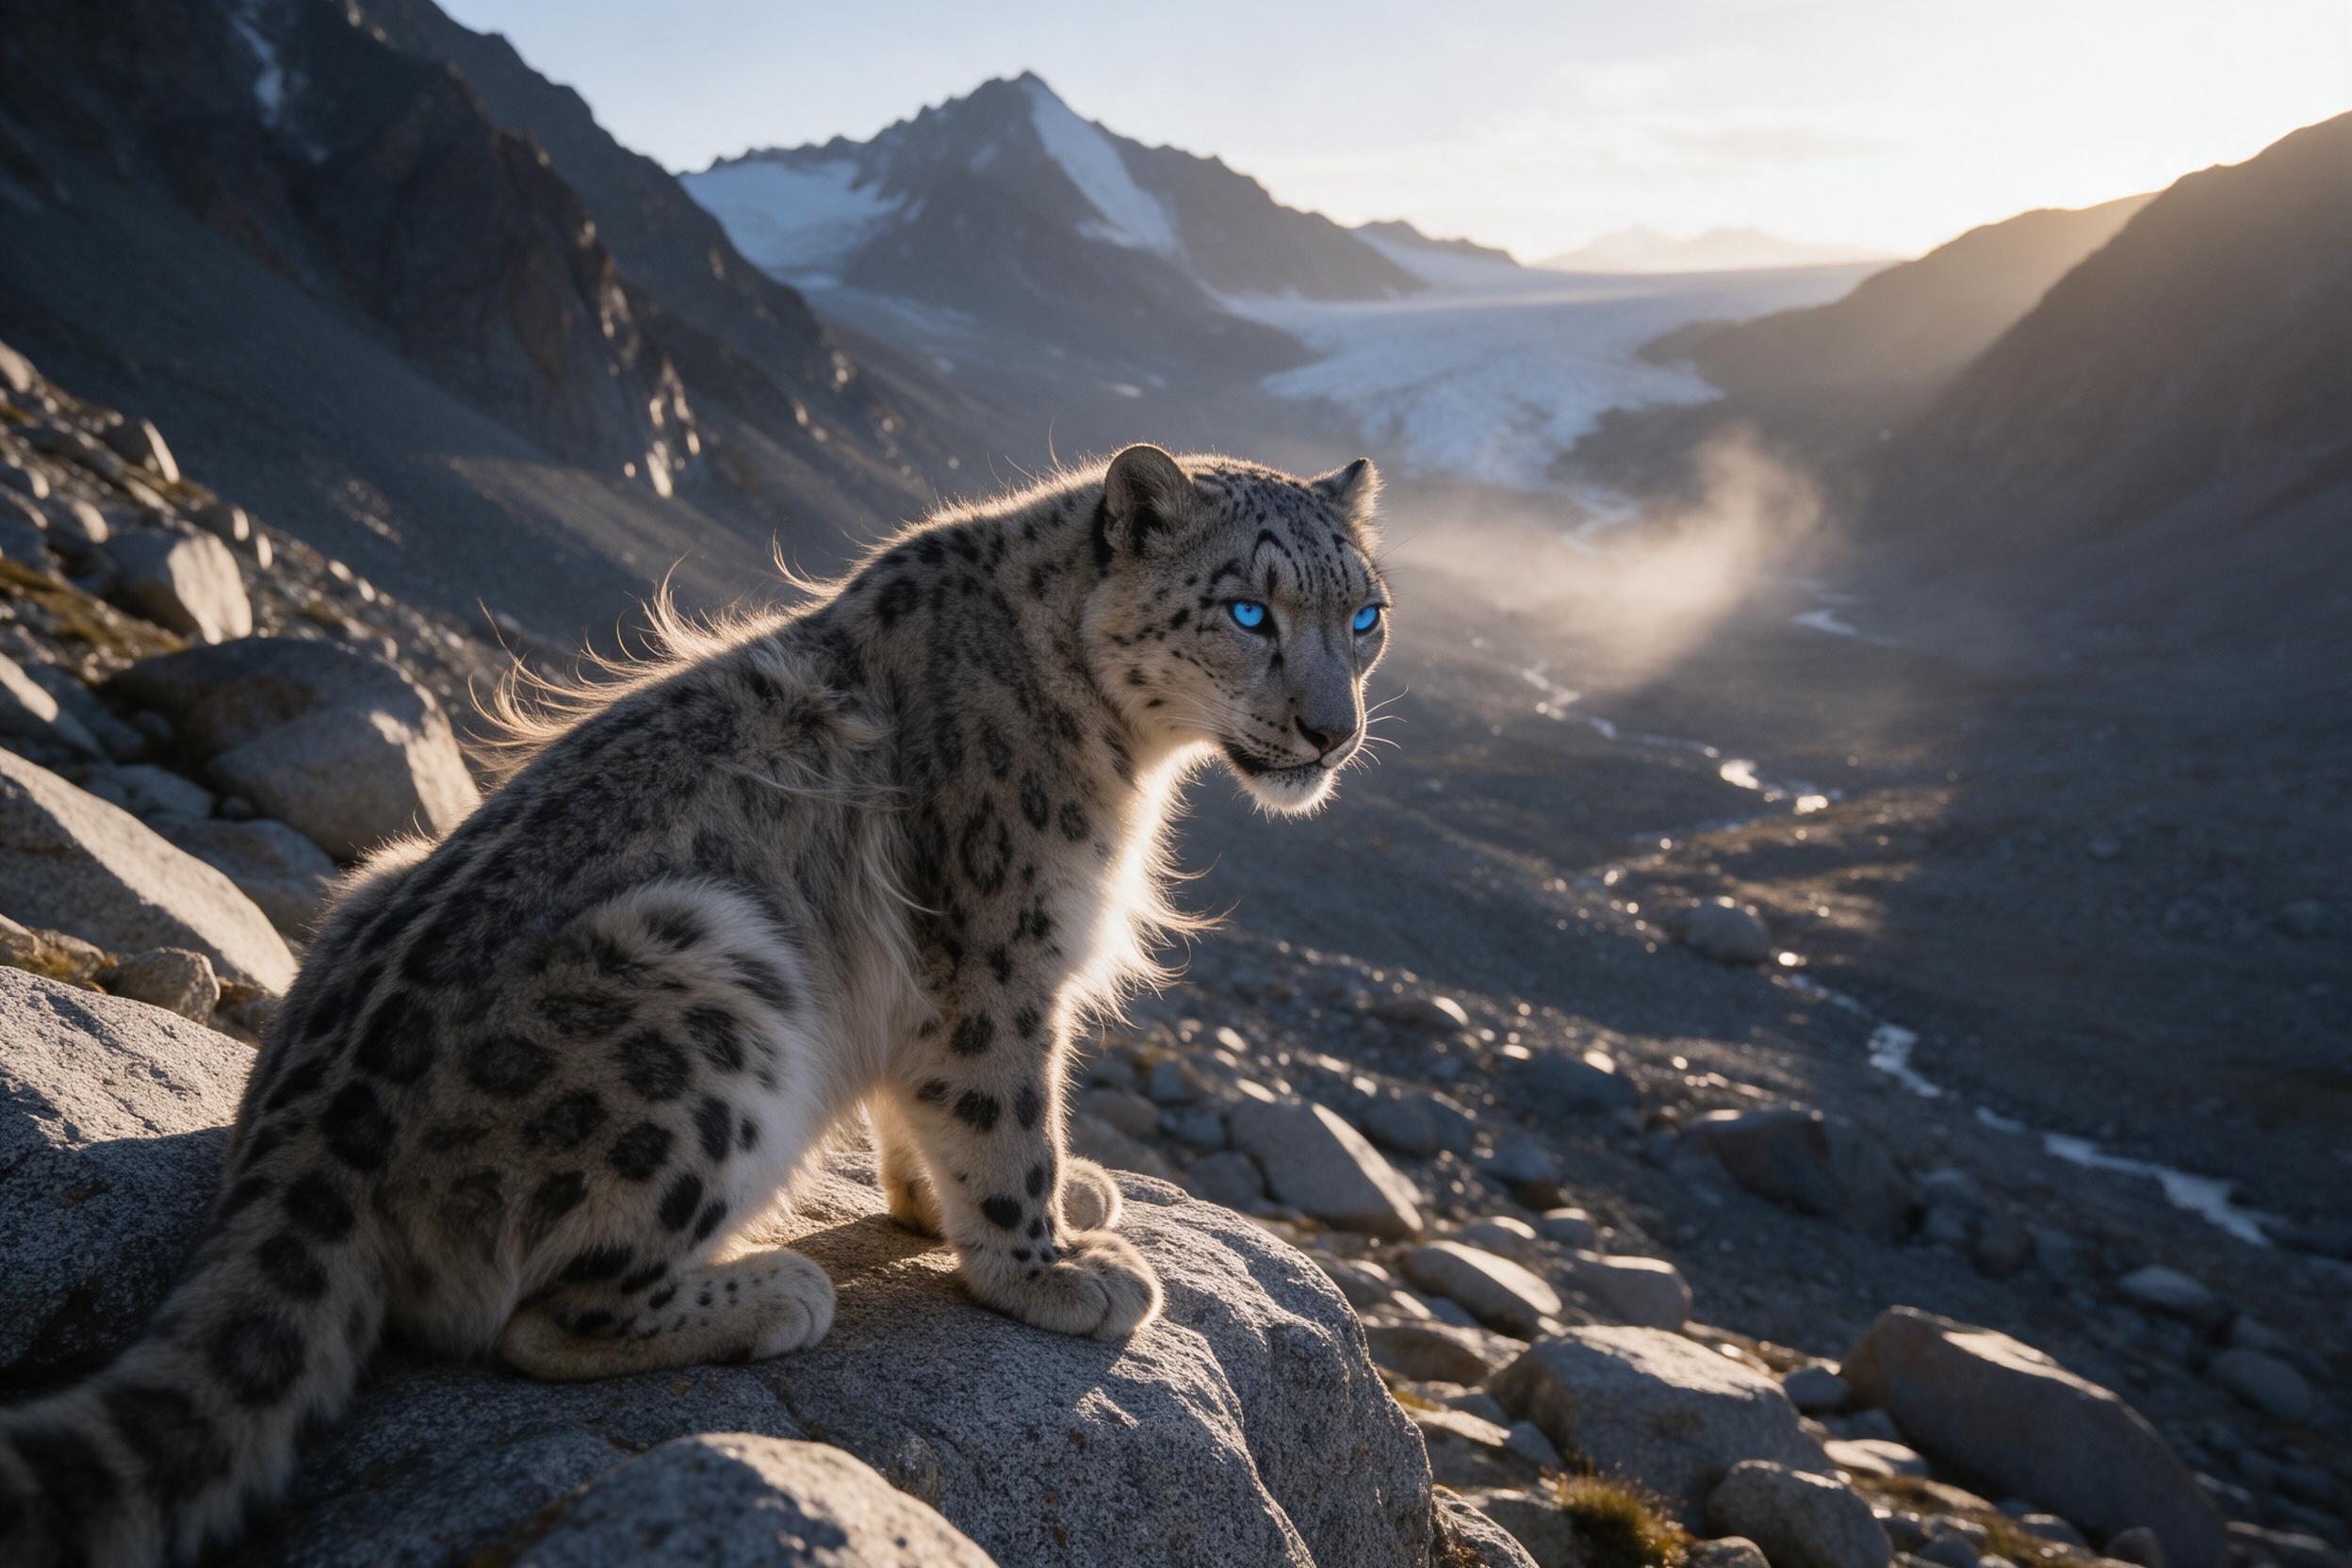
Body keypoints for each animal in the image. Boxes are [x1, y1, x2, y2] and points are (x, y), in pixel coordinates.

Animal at [0, 443, 1391, 1566]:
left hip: (389, 875)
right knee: (533, 1316)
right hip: (710, 973)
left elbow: (923, 1117)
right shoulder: (995, 957)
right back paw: (775, 1291)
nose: (1330, 732)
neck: (1128, 760)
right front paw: (1047, 1267)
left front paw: (959, 1204)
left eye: (1366, 615)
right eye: (1249, 608)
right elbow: (1001, 1116)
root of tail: (302, 1141)